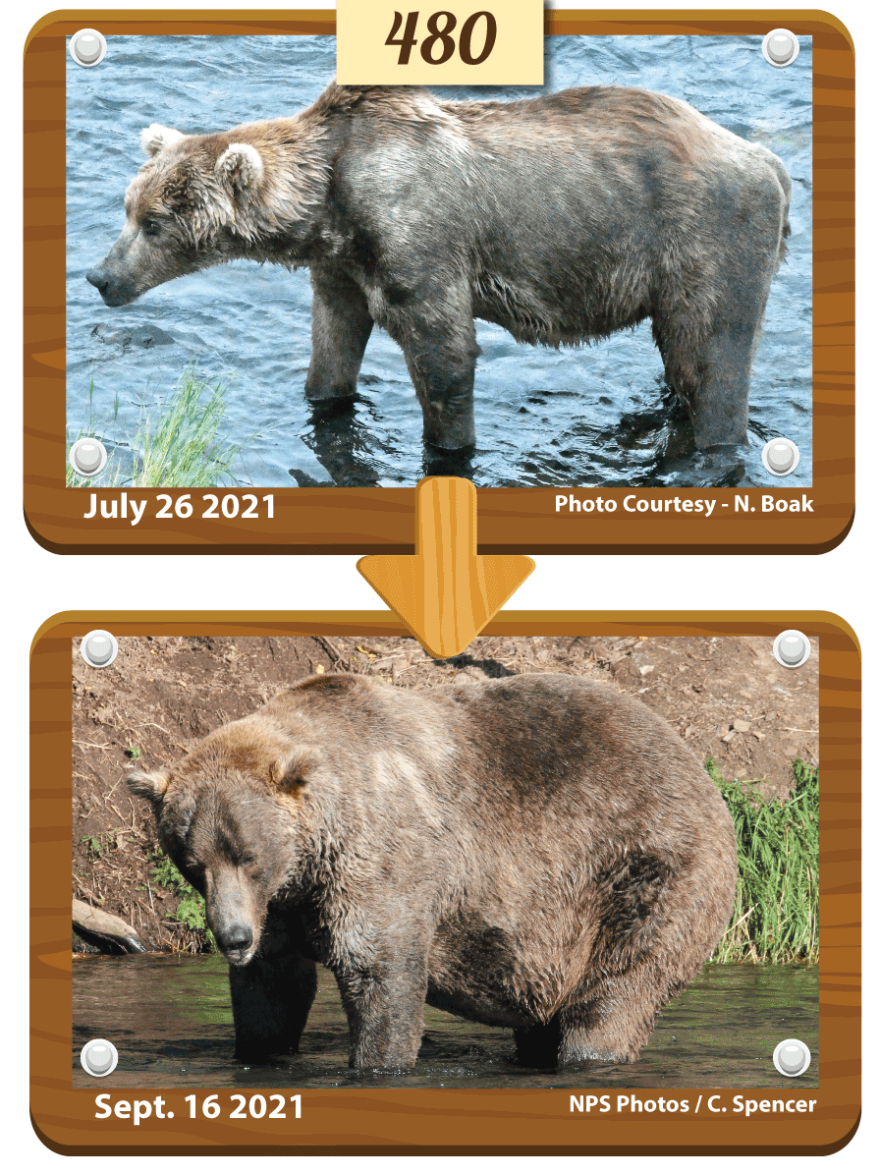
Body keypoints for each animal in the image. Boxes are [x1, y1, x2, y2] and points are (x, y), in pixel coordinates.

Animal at [87, 82, 791, 453]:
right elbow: (334, 343)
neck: (331, 204)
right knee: (682, 358)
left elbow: (444, 354)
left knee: (714, 356)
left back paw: (715, 439)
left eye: (154, 222)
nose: (100, 276)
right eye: (128, 207)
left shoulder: (417, 239)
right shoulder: (342, 268)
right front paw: (324, 398)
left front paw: (449, 446)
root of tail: (765, 159)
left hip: (702, 241)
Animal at [126, 672, 738, 1069]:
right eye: (193, 863)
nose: (232, 937)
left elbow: (380, 971)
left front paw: (378, 1061)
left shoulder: (381, 861)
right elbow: (272, 991)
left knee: (616, 991)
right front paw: (260, 1048)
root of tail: (697, 765)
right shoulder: (283, 907)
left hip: (643, 870)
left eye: (249, 856)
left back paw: (592, 1052)